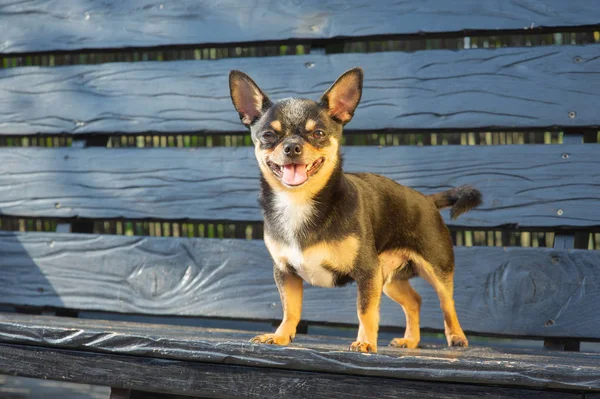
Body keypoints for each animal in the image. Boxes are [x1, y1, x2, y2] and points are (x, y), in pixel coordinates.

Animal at [227, 68, 480, 354]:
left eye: (319, 133)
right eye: (269, 136)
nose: (292, 147)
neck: (299, 202)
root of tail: (427, 200)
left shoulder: (367, 272)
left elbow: (365, 310)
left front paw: (365, 342)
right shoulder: (286, 272)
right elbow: (290, 309)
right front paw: (280, 336)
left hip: (435, 269)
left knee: (447, 303)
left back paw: (457, 336)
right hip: (388, 279)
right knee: (414, 300)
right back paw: (410, 340)